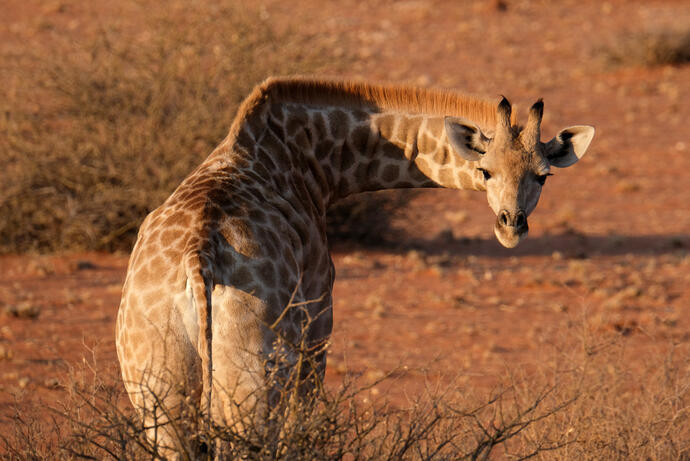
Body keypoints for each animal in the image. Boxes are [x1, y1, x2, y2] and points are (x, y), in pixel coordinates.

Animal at [115, 76, 594, 455]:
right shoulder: (317, 328)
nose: (512, 225)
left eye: (543, 175)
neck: (312, 158)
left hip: (157, 391)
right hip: (251, 383)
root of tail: (200, 261)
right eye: (486, 171)